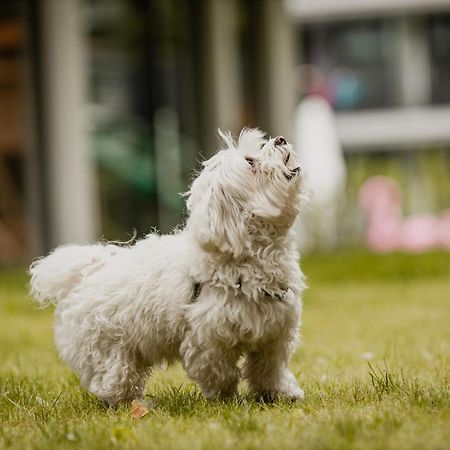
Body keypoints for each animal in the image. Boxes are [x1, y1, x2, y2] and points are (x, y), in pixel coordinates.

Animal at [29, 128, 306, 406]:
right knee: (115, 378)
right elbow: (220, 372)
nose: (280, 139)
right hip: (107, 348)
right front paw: (225, 399)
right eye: (250, 162)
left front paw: (279, 394)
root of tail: (86, 274)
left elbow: (270, 369)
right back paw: (130, 404)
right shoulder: (206, 341)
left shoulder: (274, 332)